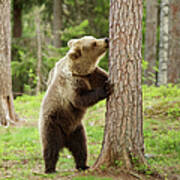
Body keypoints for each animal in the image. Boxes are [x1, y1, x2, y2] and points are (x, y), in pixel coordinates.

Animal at [38, 35, 112, 173]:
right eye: (94, 43)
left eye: (93, 38)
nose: (106, 39)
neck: (79, 70)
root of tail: (65, 140)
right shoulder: (71, 84)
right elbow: (80, 99)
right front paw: (105, 89)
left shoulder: (92, 75)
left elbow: (103, 75)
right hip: (52, 123)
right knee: (50, 146)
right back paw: (50, 168)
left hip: (76, 129)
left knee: (80, 147)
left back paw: (83, 165)